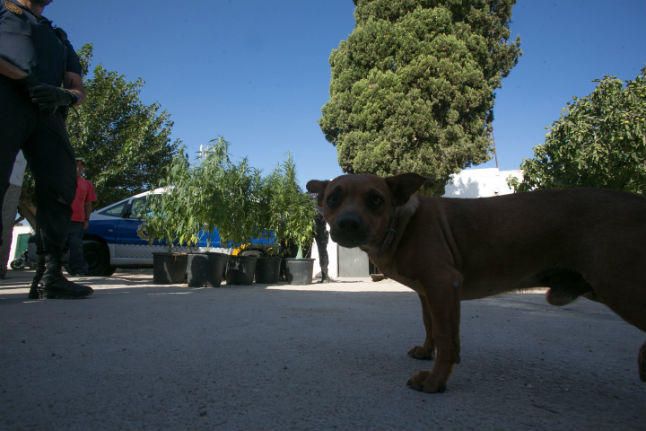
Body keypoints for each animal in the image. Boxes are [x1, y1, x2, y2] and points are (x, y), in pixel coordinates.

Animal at [308, 174, 646, 394]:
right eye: (333, 197)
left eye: (376, 200)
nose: (348, 223)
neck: (403, 224)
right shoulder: (428, 293)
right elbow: (432, 327)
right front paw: (426, 351)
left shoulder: (443, 285)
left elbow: (447, 340)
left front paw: (435, 382)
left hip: (621, 287)